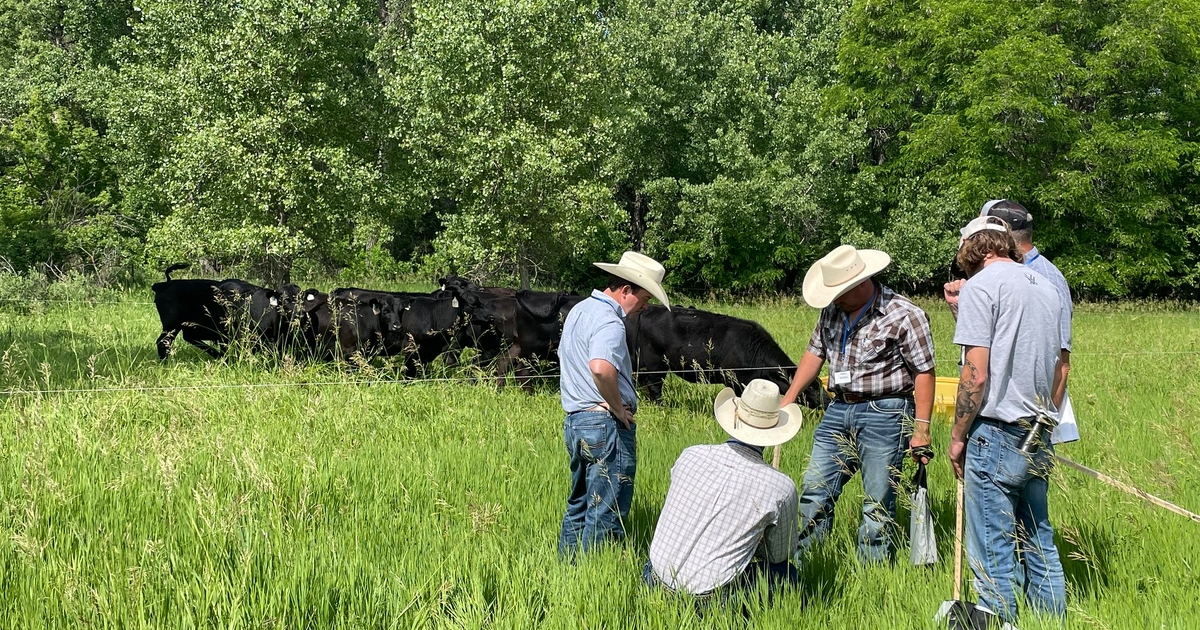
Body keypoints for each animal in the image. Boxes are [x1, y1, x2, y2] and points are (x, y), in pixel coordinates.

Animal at [628, 304, 835, 408]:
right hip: (655, 364)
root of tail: (648, 309)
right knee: (655, 388)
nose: (828, 402)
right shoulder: (735, 381)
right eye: (811, 388)